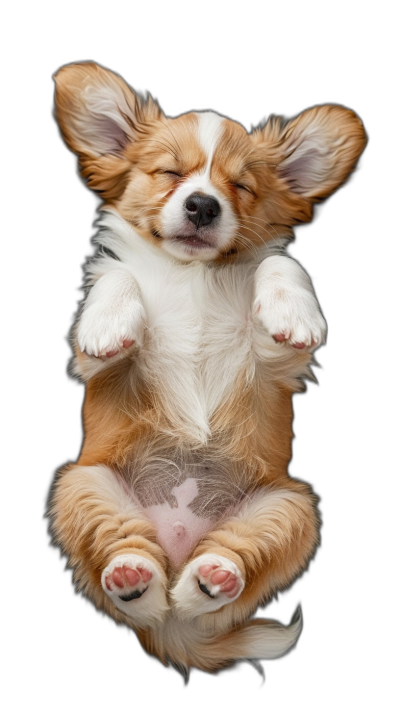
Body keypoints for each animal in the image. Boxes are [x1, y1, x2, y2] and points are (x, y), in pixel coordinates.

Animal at [48, 61, 368, 672]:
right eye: (170, 174)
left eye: (240, 187)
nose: (202, 205)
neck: (192, 274)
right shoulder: (95, 366)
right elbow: (118, 279)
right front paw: (110, 323)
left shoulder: (276, 361)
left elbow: (278, 264)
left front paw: (294, 311)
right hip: (83, 485)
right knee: (134, 578)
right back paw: (133, 575)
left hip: (289, 508)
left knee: (222, 570)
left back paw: (211, 576)